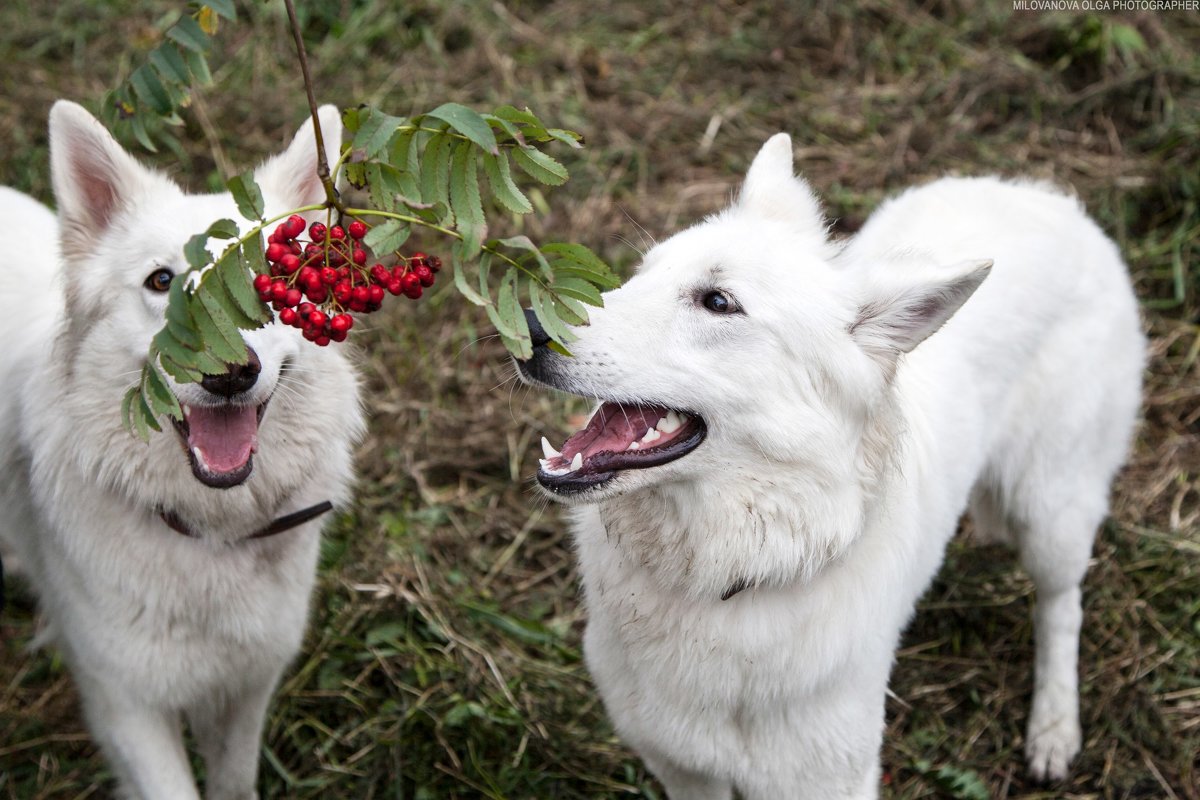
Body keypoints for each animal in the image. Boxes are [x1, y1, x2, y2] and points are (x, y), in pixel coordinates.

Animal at [1, 103, 364, 796]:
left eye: (274, 282)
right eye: (162, 281)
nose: (227, 371)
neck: (209, 530)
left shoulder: (247, 686)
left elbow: (233, 783)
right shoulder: (126, 707)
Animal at [518, 134, 1142, 796]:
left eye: (718, 302)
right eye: (641, 274)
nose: (524, 325)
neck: (729, 575)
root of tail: (1048, 198)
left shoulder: (827, 778)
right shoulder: (681, 767)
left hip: (1050, 515)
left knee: (1062, 606)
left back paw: (1054, 729)